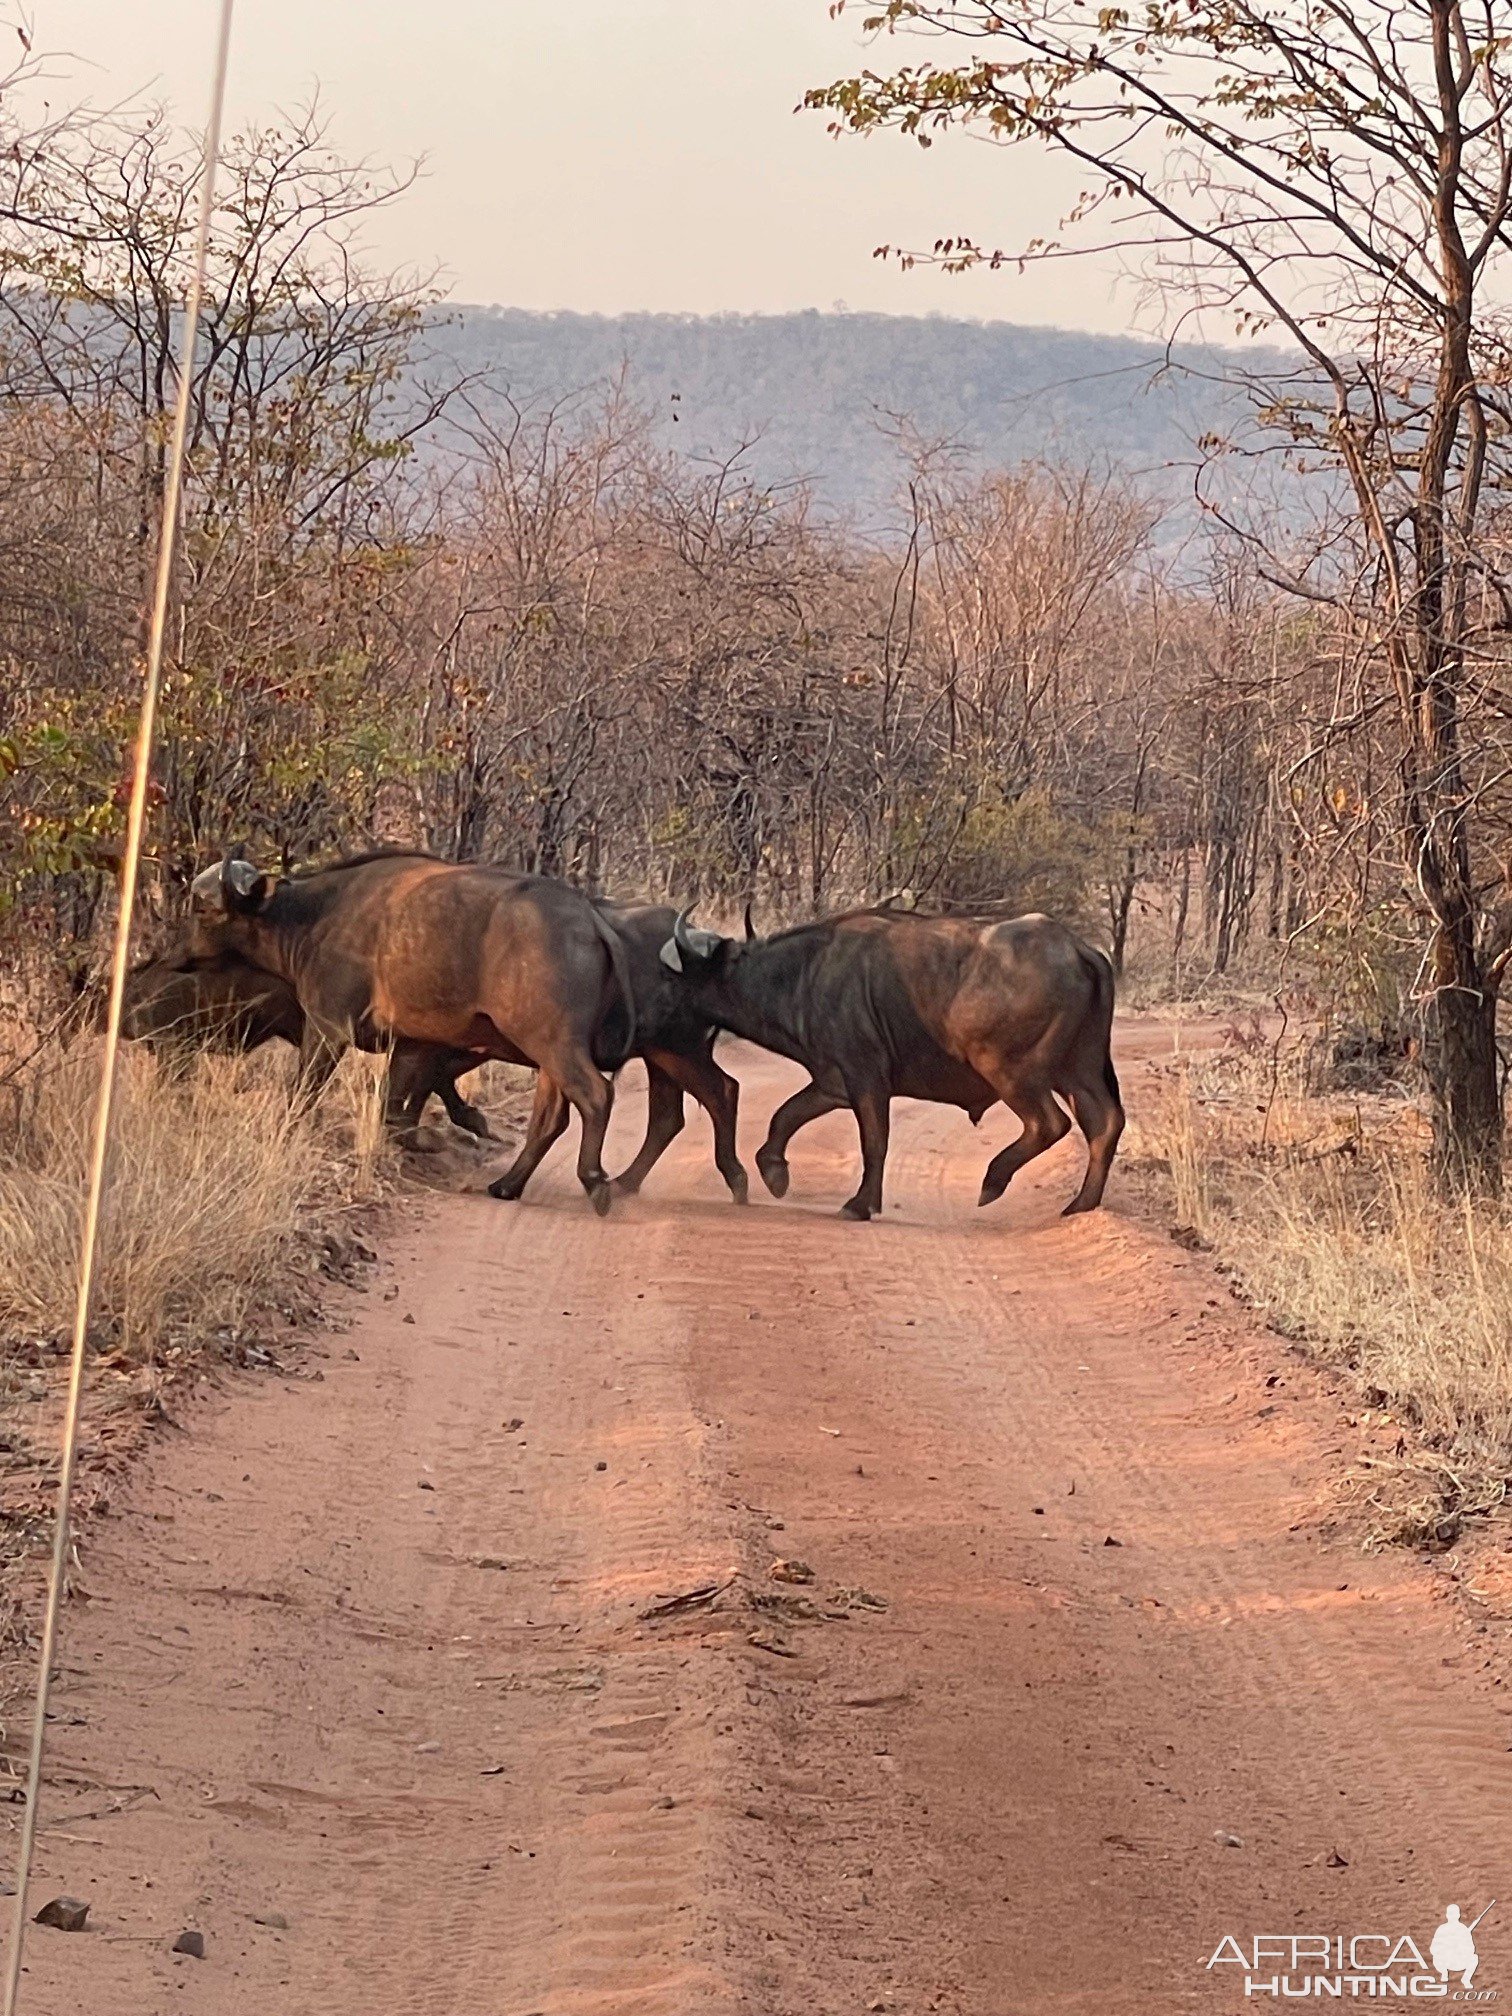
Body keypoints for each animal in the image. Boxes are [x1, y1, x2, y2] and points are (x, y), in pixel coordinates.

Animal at [185, 850, 633, 1209]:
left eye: (202, 910)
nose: (181, 955)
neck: (312, 917)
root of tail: (590, 920)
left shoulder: (328, 1027)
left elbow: (304, 1093)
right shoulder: (414, 1043)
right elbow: (395, 1112)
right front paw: (432, 1138)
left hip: (552, 1043)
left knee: (595, 1094)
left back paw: (595, 1182)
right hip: (548, 1055)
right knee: (551, 1116)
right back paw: (507, 1185)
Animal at [661, 911, 1128, 1217]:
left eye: (683, 976)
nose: (661, 1007)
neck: (805, 974)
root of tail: (1078, 949)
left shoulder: (866, 1079)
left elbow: (874, 1141)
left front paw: (859, 1204)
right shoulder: (832, 1081)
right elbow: (785, 1115)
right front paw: (775, 1173)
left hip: (1010, 1071)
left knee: (1049, 1123)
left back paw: (993, 1181)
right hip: (1078, 1072)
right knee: (1105, 1123)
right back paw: (1080, 1205)